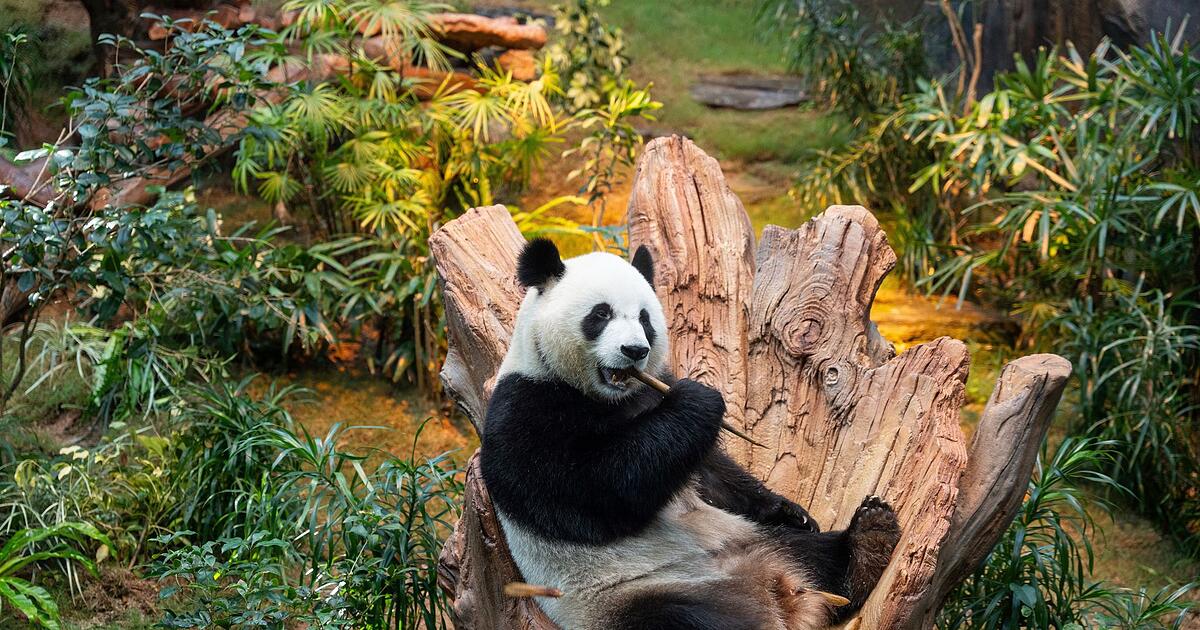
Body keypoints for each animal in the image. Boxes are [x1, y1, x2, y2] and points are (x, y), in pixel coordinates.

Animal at [480, 238, 902, 630]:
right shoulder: (524, 408)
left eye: (645, 318)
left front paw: (789, 510)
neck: (608, 397)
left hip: (751, 539)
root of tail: (773, 589)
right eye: (600, 314)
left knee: (811, 553)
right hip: (633, 600)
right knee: (680, 618)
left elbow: (710, 471)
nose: (634, 350)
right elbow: (594, 490)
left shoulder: (653, 391)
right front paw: (699, 400)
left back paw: (869, 541)